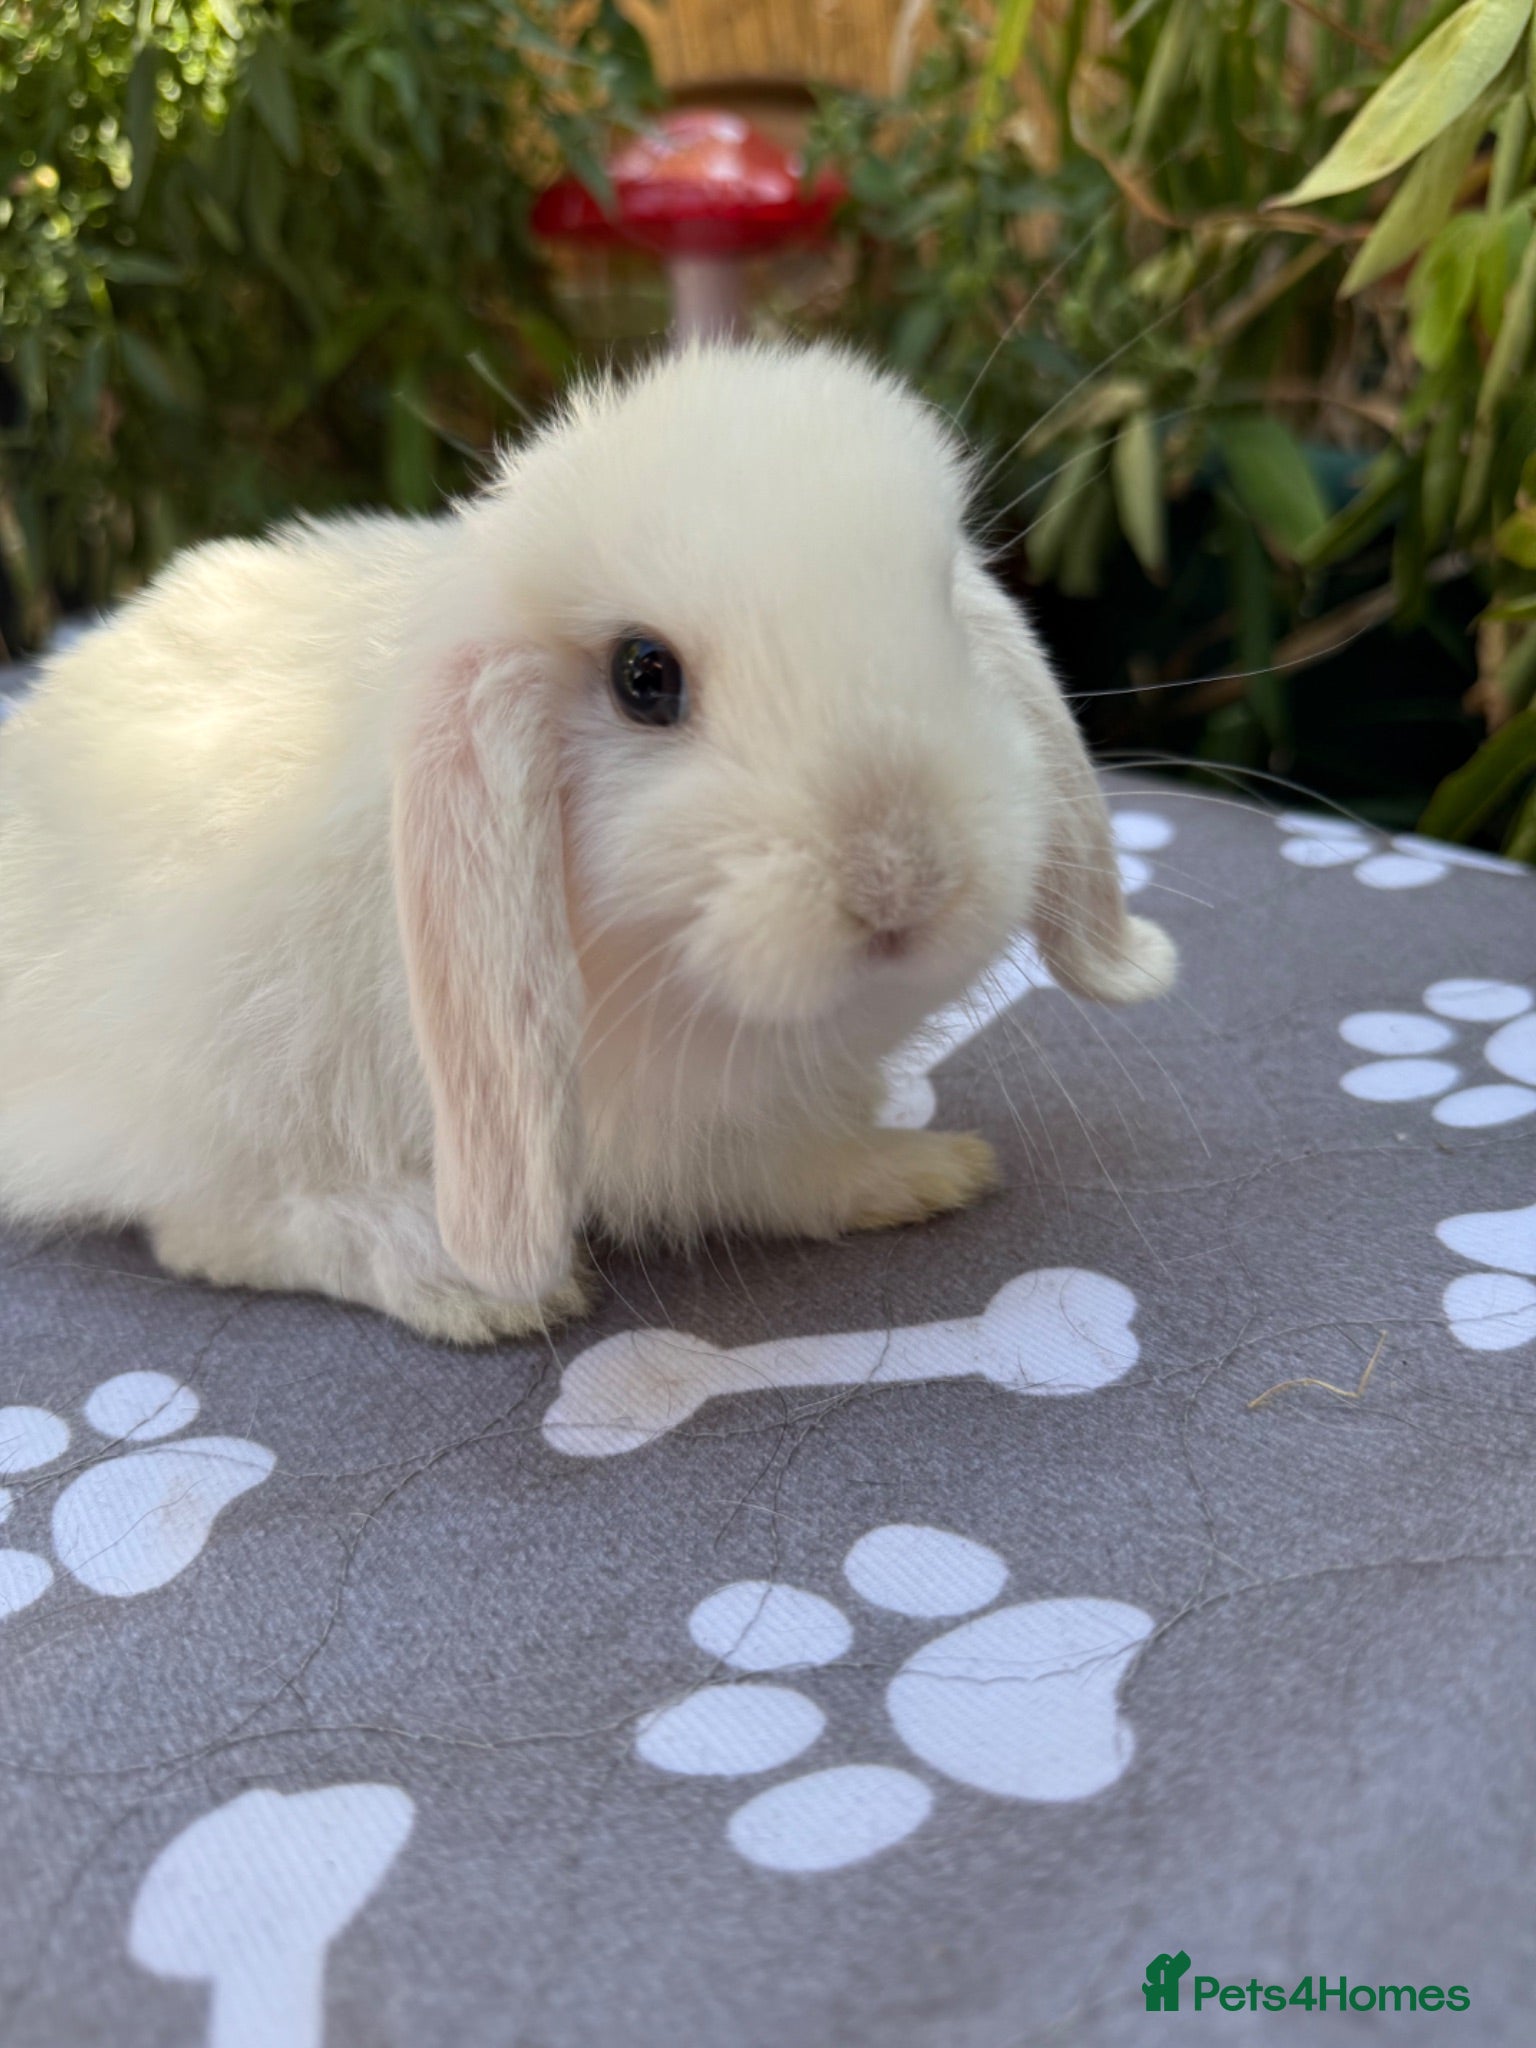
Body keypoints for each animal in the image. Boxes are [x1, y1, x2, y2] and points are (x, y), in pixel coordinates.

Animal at [0, 341, 1174, 1343]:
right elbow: (782, 1178)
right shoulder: (696, 1142)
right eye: (643, 676)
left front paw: (929, 1163)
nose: (903, 879)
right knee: (209, 1230)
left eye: (941, 608)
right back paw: (457, 1280)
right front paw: (930, 1169)